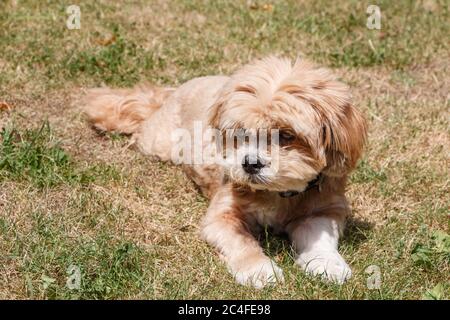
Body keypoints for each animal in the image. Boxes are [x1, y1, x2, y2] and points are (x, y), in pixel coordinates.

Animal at [82, 55, 368, 288]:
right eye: (240, 133)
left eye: (287, 135)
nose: (250, 163)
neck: (276, 195)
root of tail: (174, 91)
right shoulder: (222, 216)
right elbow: (242, 243)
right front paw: (259, 270)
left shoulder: (324, 210)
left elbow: (320, 240)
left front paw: (327, 264)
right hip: (156, 143)